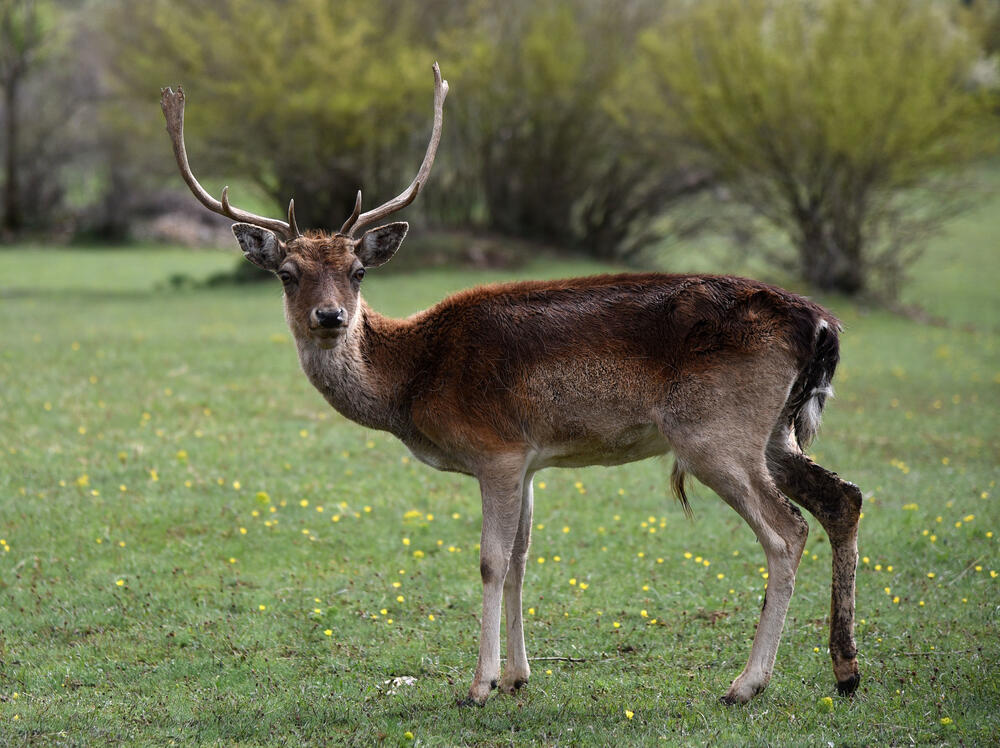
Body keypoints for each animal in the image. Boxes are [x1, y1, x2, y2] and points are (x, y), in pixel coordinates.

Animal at [160, 62, 864, 708]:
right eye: (287, 273)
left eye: (358, 271)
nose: (330, 317)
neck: (413, 380)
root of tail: (820, 322)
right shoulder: (528, 458)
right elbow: (525, 555)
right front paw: (519, 676)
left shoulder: (495, 449)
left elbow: (491, 559)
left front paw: (478, 685)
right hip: (777, 431)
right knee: (844, 499)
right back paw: (845, 670)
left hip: (716, 432)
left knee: (786, 531)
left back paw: (747, 683)